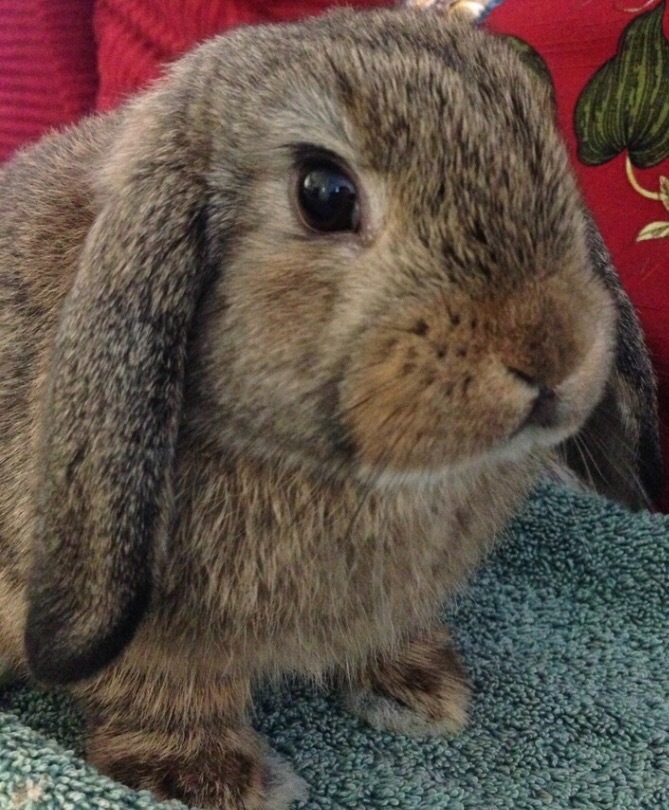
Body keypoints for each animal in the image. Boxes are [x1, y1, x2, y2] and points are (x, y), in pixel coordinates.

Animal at [0, 7, 662, 809]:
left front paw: (419, 689)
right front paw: (214, 778)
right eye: (325, 193)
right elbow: (164, 690)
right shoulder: (145, 631)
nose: (553, 354)